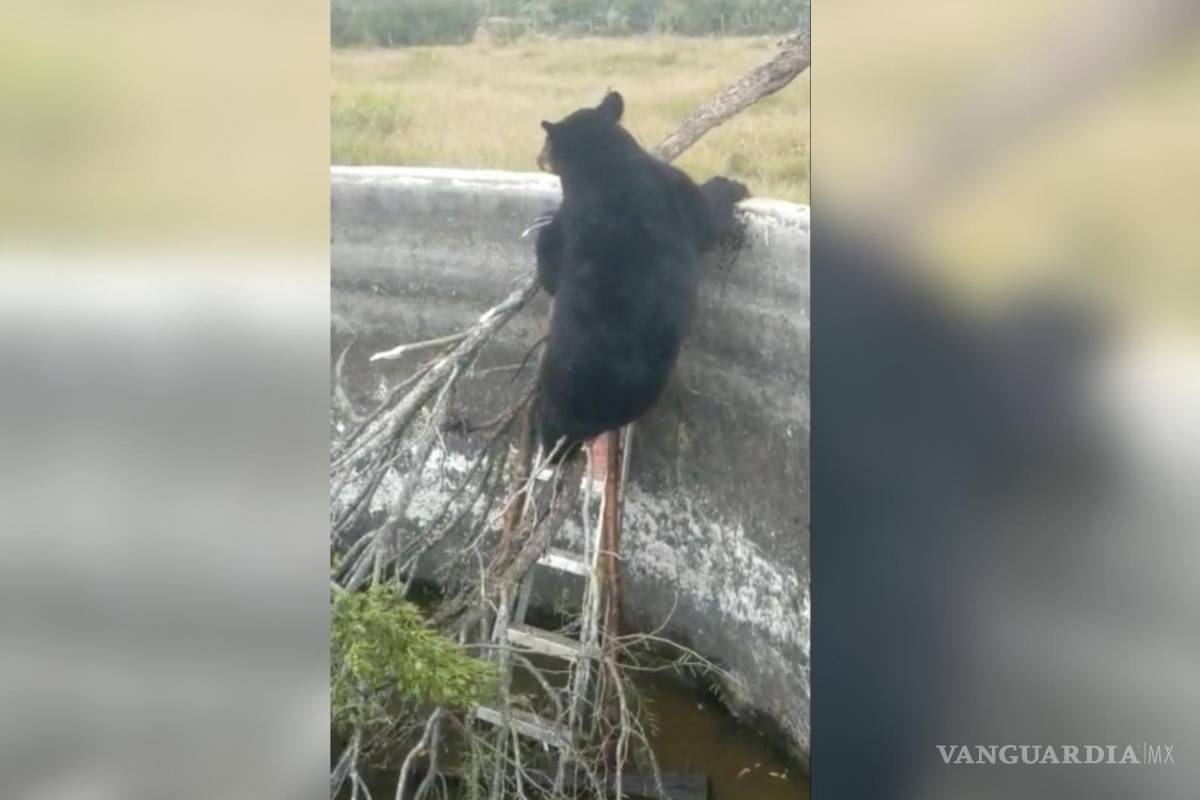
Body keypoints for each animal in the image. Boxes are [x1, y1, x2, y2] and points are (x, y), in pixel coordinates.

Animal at [530, 90, 749, 457]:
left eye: (546, 143)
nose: (537, 158)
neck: (604, 166)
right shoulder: (671, 190)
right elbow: (708, 214)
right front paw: (731, 185)